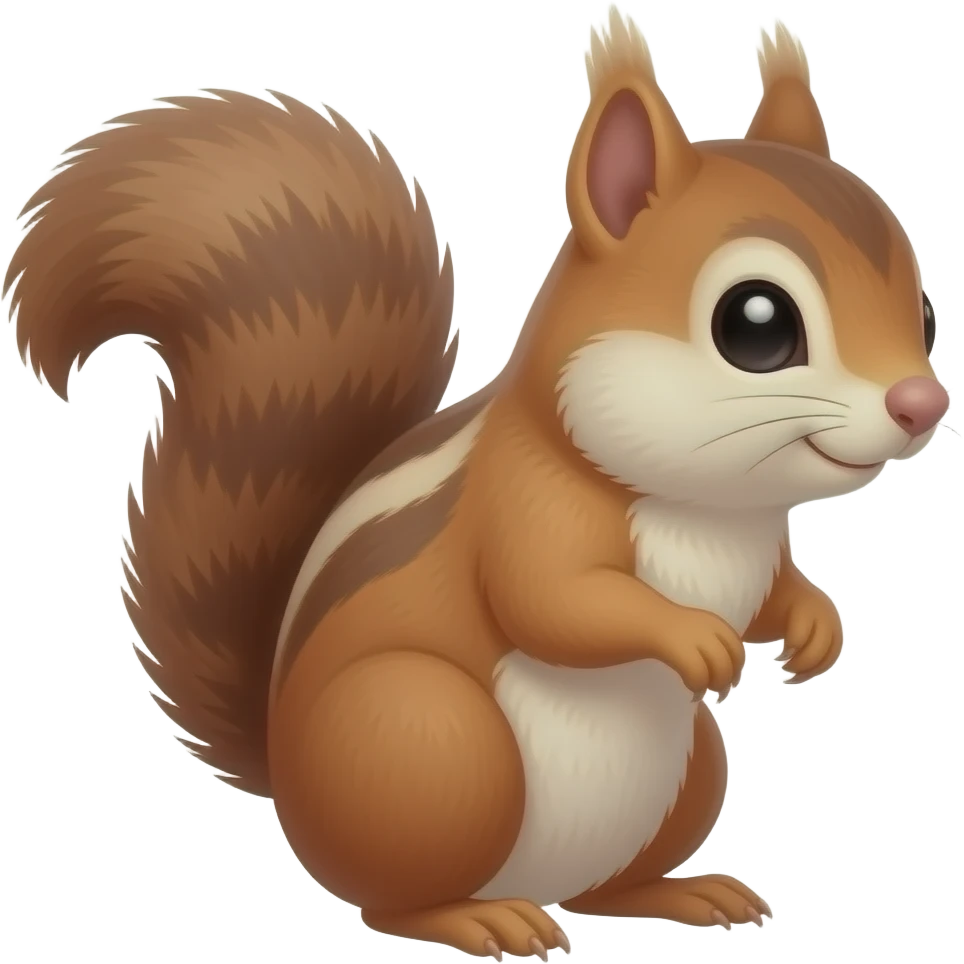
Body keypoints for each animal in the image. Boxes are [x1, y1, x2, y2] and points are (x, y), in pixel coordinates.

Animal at [4, 8, 949, 960]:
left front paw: (814, 626)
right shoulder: (526, 508)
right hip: (430, 740)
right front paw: (694, 637)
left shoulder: (755, 549)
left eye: (925, 310)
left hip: (688, 772)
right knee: (391, 899)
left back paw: (680, 891)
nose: (922, 404)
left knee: (608, 887)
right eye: (756, 325)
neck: (708, 510)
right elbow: (556, 601)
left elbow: (773, 592)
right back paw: (479, 918)